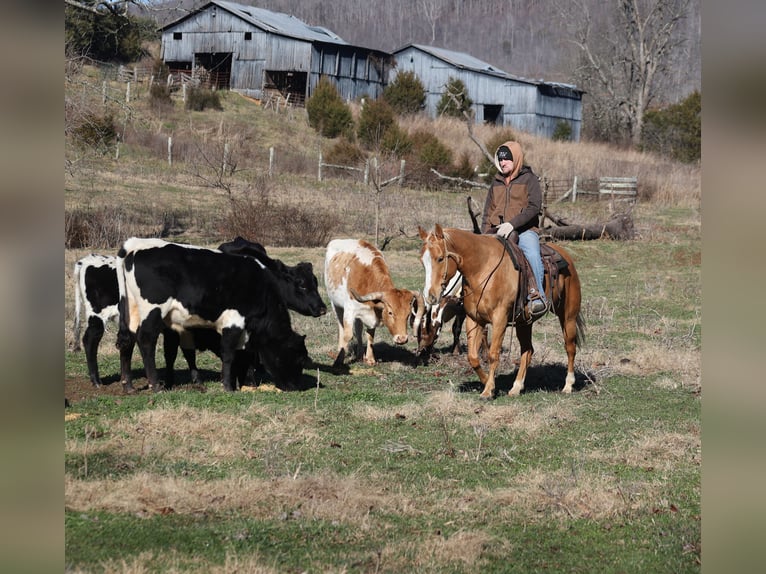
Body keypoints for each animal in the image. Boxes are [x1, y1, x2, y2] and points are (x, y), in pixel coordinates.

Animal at [418, 224, 584, 399]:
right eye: (422, 261)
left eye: (440, 258)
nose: (430, 296)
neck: (482, 268)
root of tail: (566, 256)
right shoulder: (474, 319)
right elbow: (473, 357)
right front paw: (487, 382)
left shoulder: (500, 319)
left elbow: (493, 354)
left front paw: (488, 390)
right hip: (524, 322)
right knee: (528, 350)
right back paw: (516, 387)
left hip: (568, 316)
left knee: (570, 347)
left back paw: (568, 385)